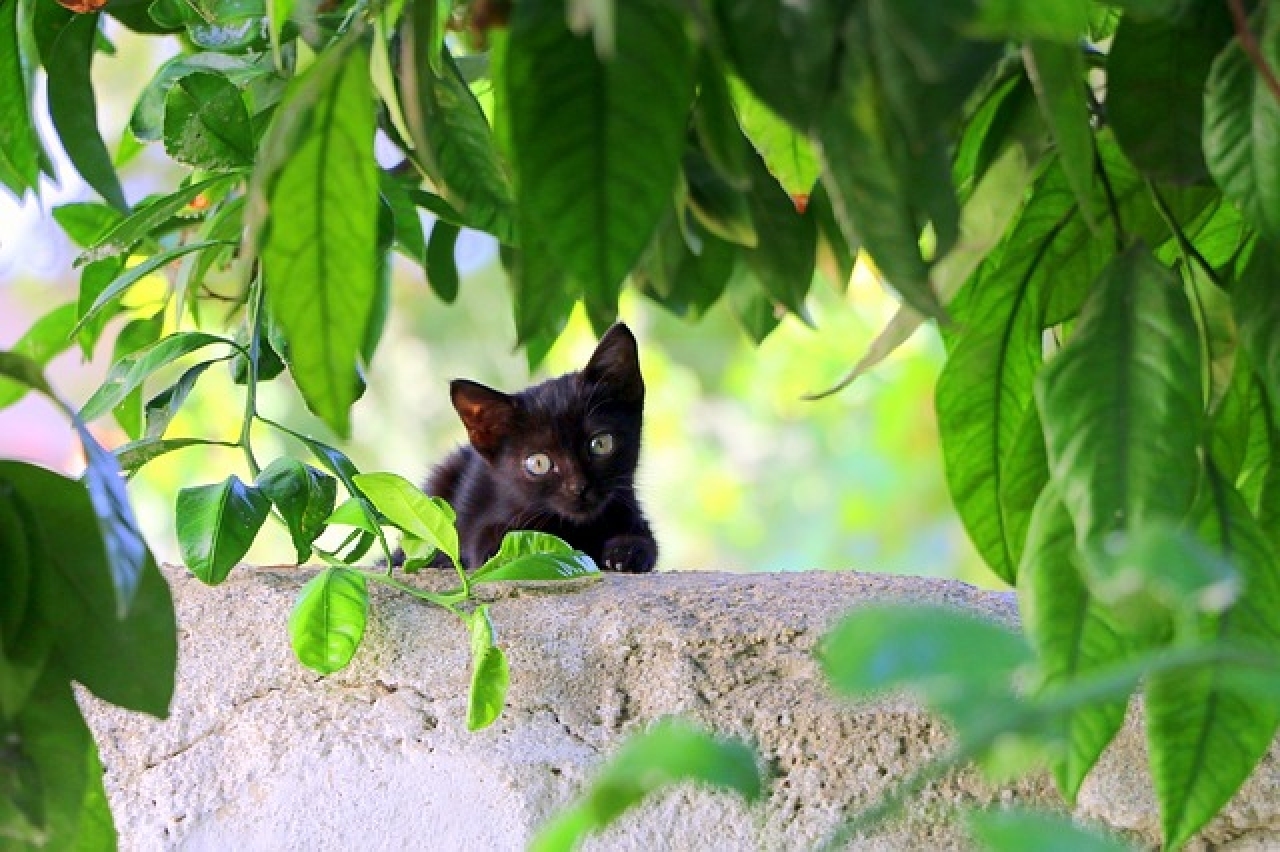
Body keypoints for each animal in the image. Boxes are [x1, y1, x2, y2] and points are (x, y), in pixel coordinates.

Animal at [430, 322, 660, 573]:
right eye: (538, 463)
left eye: (600, 444)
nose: (579, 487)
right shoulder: (486, 526)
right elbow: (496, 544)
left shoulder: (627, 510)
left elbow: (646, 540)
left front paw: (626, 551)